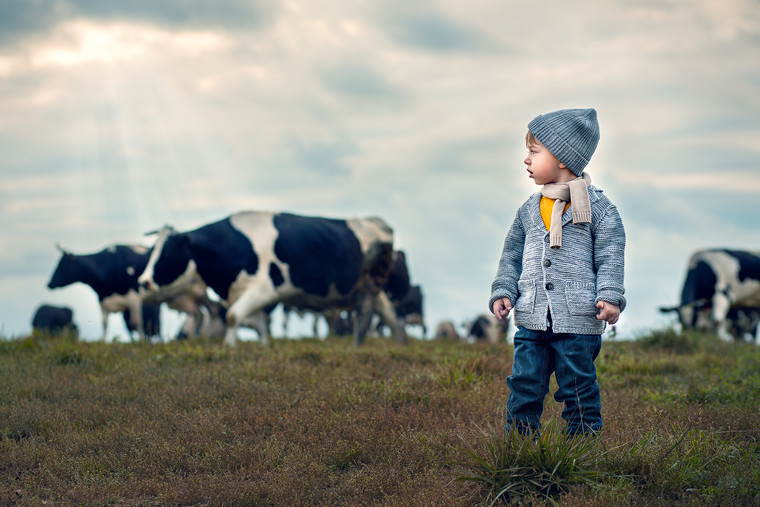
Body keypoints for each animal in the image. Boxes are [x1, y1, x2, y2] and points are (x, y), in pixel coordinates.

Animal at [139, 208, 406, 348]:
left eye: (167, 252)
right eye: (152, 249)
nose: (143, 281)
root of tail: (374, 222)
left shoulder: (263, 290)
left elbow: (233, 316)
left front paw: (228, 347)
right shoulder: (244, 293)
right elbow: (259, 325)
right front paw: (263, 347)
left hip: (370, 286)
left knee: (366, 316)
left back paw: (356, 347)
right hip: (368, 290)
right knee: (390, 316)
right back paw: (397, 344)